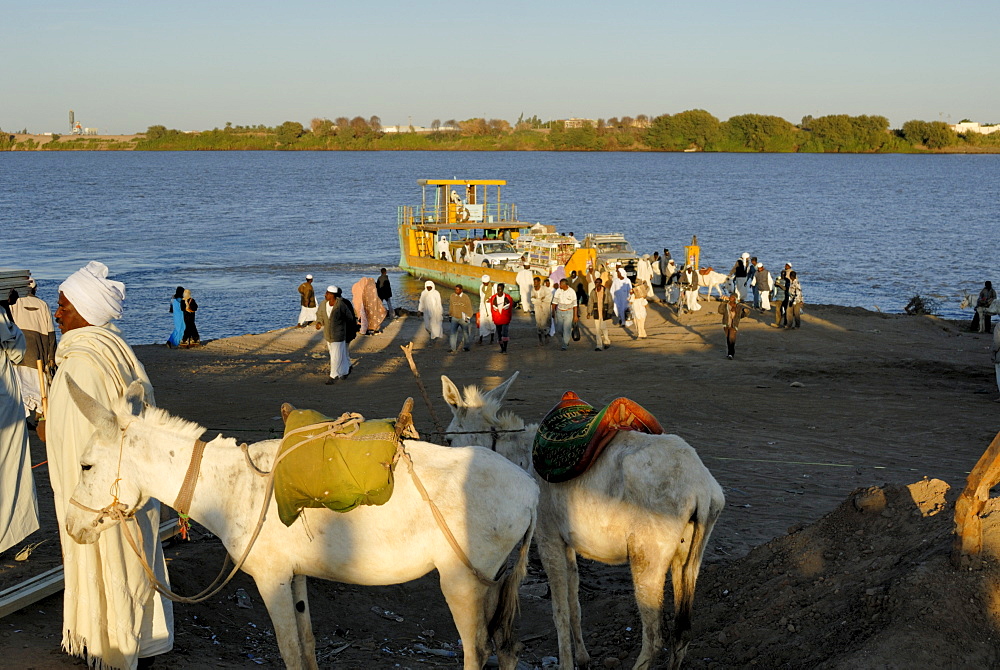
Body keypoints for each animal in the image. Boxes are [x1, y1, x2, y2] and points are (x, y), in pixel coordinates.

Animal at [62, 384, 540, 670]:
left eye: (85, 465)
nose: (71, 526)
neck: (229, 487)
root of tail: (531, 488)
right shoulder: (295, 578)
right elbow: (308, 645)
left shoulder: (270, 578)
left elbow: (290, 651)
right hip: (495, 580)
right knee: (506, 647)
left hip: (462, 581)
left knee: (477, 651)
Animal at [442, 372, 724, 670]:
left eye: (448, 439)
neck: (520, 459)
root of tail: (703, 491)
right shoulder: (568, 540)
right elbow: (574, 600)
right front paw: (583, 657)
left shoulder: (547, 535)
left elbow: (559, 610)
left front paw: (566, 663)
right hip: (688, 557)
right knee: (682, 633)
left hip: (647, 554)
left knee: (655, 636)